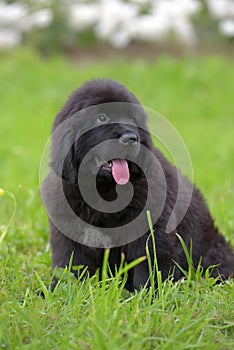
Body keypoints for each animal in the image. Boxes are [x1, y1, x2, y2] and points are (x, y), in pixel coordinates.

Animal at [41, 78, 233, 290]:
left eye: (133, 119)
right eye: (101, 117)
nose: (131, 139)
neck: (104, 191)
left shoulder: (151, 235)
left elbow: (149, 269)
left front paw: (146, 294)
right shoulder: (69, 238)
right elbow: (70, 268)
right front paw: (56, 290)